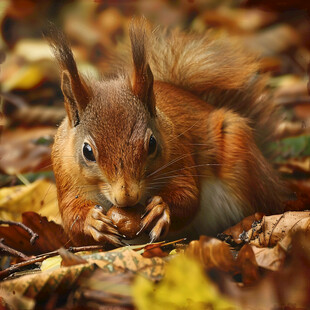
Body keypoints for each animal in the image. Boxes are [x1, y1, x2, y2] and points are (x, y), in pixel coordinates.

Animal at [47, 18, 286, 247]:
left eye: (152, 143)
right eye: (87, 151)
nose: (127, 197)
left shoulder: (180, 152)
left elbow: (188, 197)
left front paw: (160, 209)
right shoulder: (65, 175)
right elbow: (71, 218)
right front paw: (92, 222)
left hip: (240, 154)